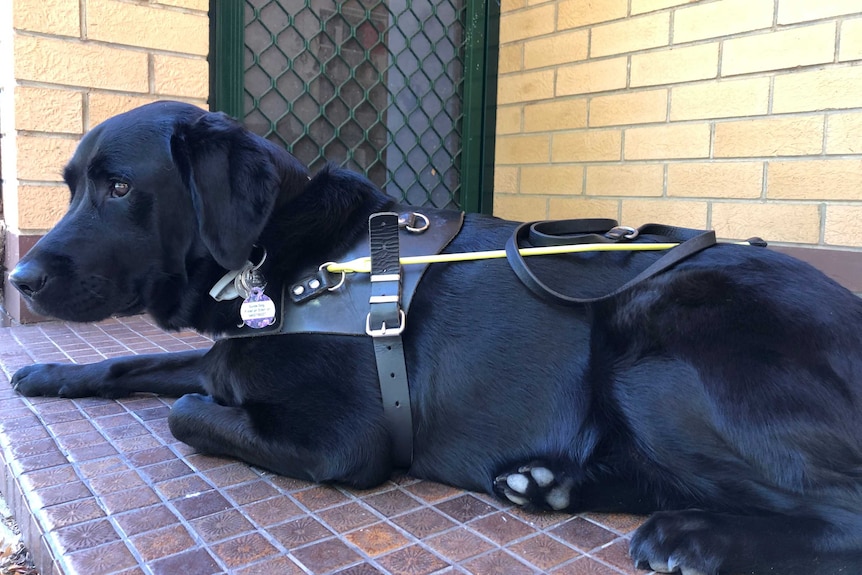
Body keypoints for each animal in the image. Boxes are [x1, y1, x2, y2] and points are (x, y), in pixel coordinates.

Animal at [8, 101, 862, 572]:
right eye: (73, 187)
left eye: (120, 188)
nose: (20, 278)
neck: (288, 255)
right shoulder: (225, 354)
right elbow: (145, 360)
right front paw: (46, 373)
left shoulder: (343, 441)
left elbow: (185, 410)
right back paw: (548, 485)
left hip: (656, 350)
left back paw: (695, 537)